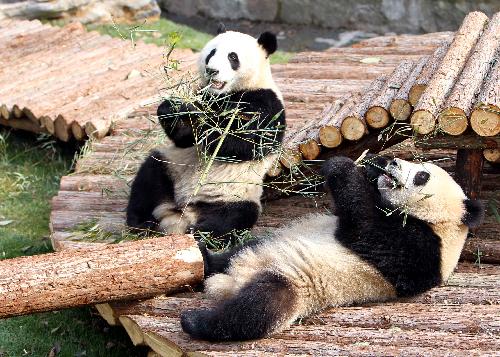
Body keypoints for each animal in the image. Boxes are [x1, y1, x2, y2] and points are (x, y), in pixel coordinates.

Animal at [126, 26, 286, 241]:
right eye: (212, 53)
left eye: (232, 57)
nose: (212, 71)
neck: (227, 94)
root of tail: (183, 214)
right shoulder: (204, 94)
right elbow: (184, 139)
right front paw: (174, 108)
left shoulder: (266, 103)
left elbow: (241, 142)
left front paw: (201, 120)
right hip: (171, 169)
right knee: (149, 179)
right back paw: (142, 224)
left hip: (236, 194)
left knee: (230, 219)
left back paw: (200, 236)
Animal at [180, 154, 484, 340]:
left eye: (422, 176)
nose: (394, 163)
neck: (440, 224)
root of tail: (232, 281)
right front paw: (372, 165)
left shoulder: (423, 251)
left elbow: (369, 229)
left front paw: (344, 166)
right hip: (262, 244)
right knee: (230, 256)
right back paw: (205, 258)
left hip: (295, 282)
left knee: (257, 308)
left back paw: (195, 321)